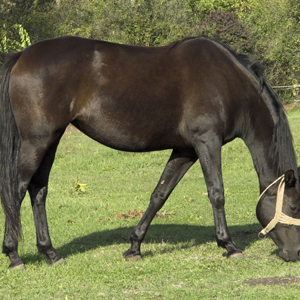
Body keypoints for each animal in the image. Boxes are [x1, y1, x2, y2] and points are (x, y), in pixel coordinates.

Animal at [0, 36, 300, 268]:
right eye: (295, 206)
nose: (294, 254)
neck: (228, 82)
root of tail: (22, 55)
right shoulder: (207, 142)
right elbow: (216, 193)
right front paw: (229, 245)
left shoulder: (185, 150)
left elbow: (159, 195)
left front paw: (134, 247)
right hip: (36, 141)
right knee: (17, 190)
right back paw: (14, 256)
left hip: (50, 140)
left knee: (38, 190)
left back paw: (50, 253)